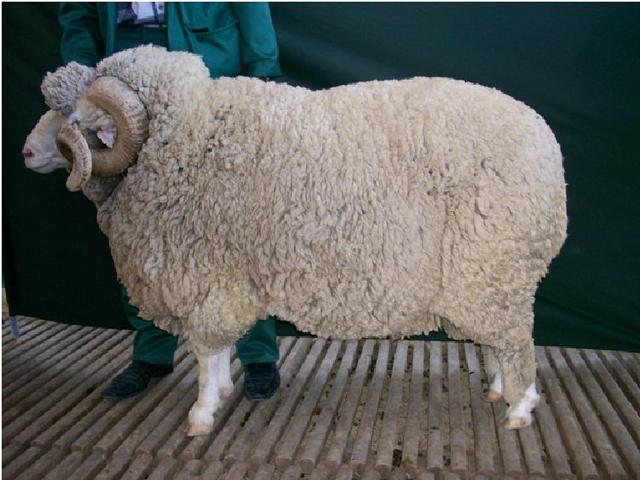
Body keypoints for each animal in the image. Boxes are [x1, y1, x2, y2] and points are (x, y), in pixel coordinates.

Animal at [25, 45, 567, 436]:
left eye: (79, 121)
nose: (27, 152)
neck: (179, 140)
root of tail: (545, 141)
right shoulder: (221, 279)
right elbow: (217, 349)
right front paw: (222, 393)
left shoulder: (206, 276)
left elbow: (204, 351)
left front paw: (201, 413)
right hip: (489, 278)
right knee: (500, 339)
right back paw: (500, 388)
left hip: (495, 267)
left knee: (516, 339)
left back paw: (520, 407)